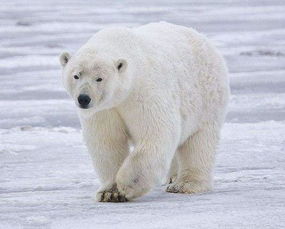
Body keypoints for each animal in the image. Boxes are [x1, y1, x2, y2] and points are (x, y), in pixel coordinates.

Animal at [59, 21, 229, 202]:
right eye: (76, 75)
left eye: (99, 78)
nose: (84, 98)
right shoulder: (104, 110)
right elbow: (108, 142)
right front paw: (109, 192)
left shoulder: (144, 92)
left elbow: (156, 133)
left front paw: (127, 185)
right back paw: (172, 177)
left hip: (206, 99)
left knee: (199, 142)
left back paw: (185, 184)